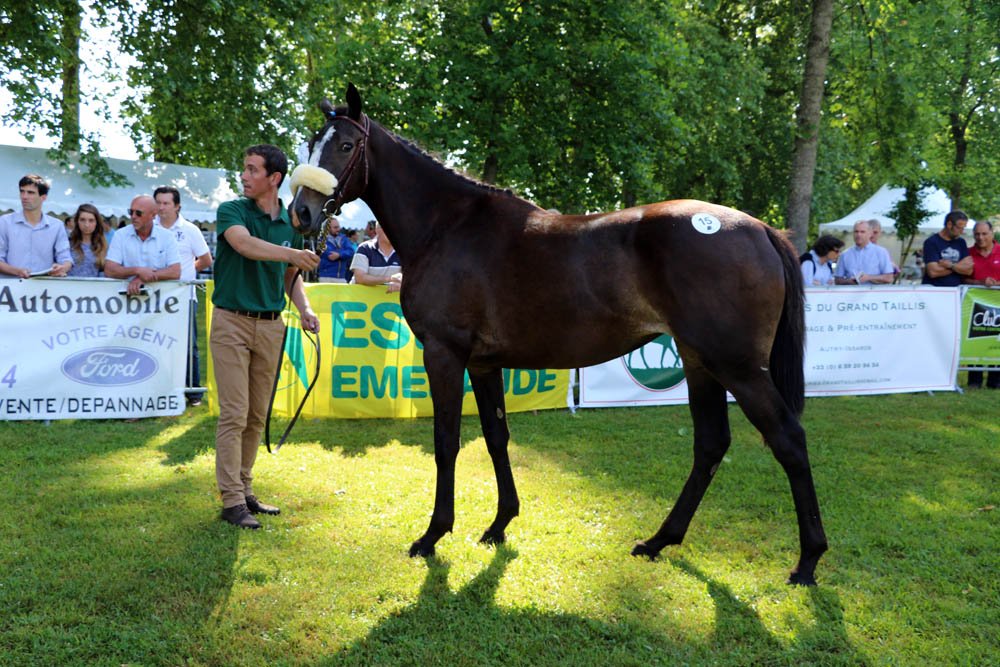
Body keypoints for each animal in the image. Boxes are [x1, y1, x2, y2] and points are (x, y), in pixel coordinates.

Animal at [289, 84, 828, 585]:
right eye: (311, 143)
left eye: (344, 146)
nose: (301, 212)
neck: (449, 225)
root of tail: (761, 228)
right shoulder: (483, 363)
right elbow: (496, 436)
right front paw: (500, 524)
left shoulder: (444, 354)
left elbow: (447, 441)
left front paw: (433, 534)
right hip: (700, 363)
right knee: (711, 445)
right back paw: (659, 541)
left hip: (738, 367)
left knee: (789, 440)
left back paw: (807, 560)